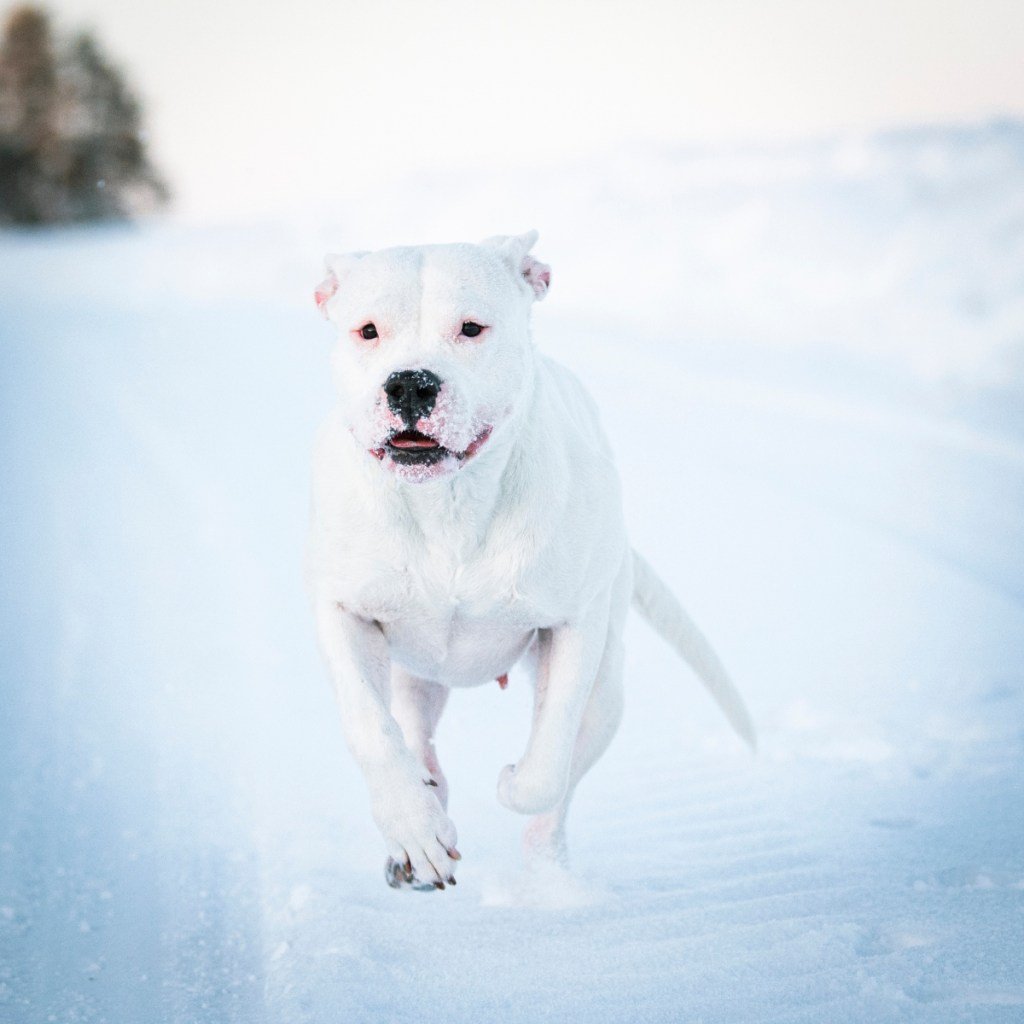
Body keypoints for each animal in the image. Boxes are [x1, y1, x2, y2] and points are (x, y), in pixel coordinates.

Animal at [305, 230, 753, 888]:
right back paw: (426, 805)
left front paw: (512, 781)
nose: (409, 383)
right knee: (411, 729)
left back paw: (548, 879)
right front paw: (414, 828)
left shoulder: (573, 627)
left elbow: (547, 764)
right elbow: (371, 729)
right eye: (367, 331)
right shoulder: (344, 611)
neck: (449, 507)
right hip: (413, 667)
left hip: (608, 689)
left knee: (559, 784)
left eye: (471, 328)